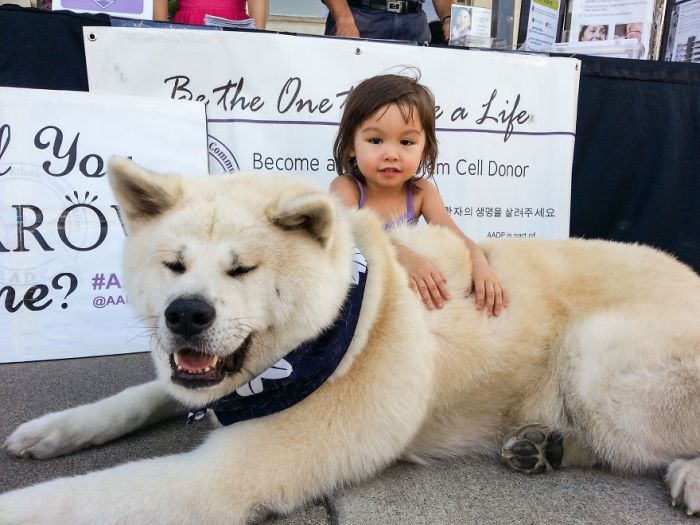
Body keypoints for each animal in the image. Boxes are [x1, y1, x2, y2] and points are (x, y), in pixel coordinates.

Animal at [4, 158, 700, 520]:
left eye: (241, 270)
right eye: (174, 265)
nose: (186, 315)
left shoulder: (219, 476)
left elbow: (70, 499)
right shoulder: (193, 383)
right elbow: (136, 398)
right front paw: (53, 431)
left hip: (597, 362)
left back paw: (684, 475)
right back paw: (544, 446)